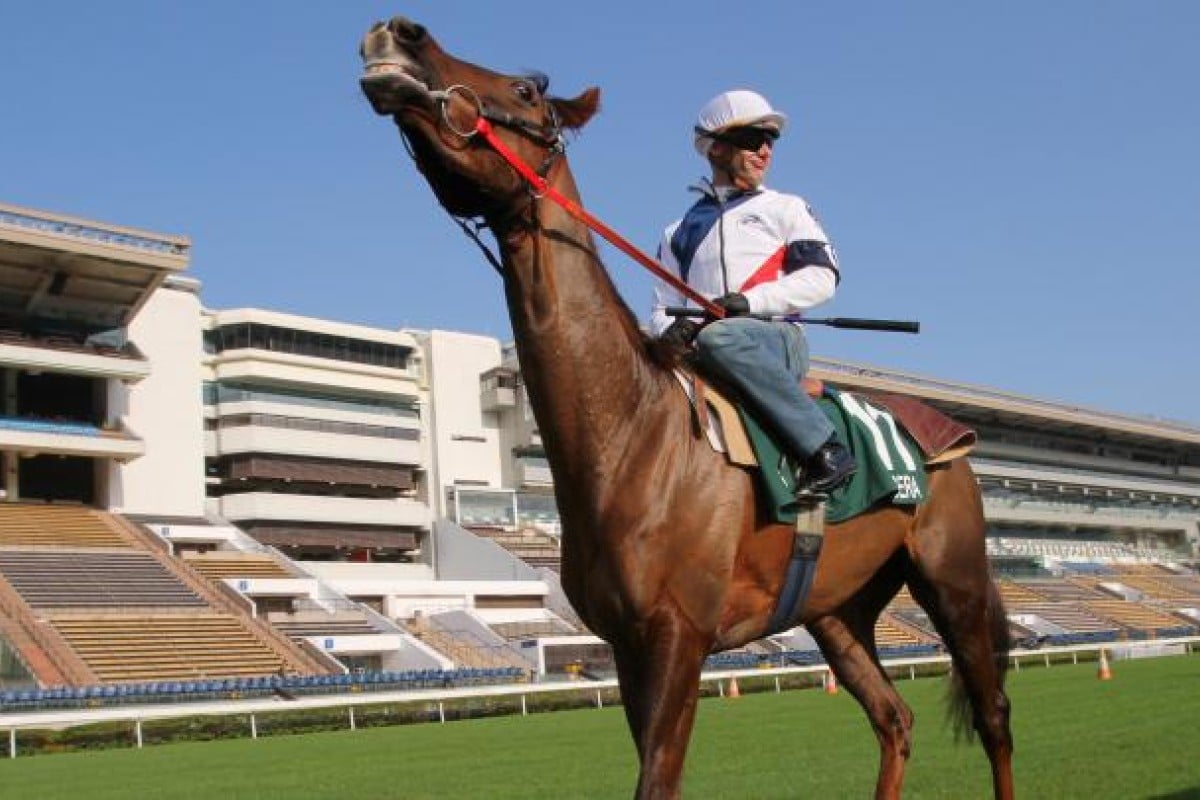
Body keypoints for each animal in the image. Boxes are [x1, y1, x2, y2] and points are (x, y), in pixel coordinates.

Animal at [355, 18, 1012, 800]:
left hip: (953, 580)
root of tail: (947, 433)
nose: (398, 32)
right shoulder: (627, 646)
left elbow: (657, 781)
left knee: (993, 716)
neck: (631, 436)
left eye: (523, 91)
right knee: (894, 717)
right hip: (838, 607)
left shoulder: (680, 635)